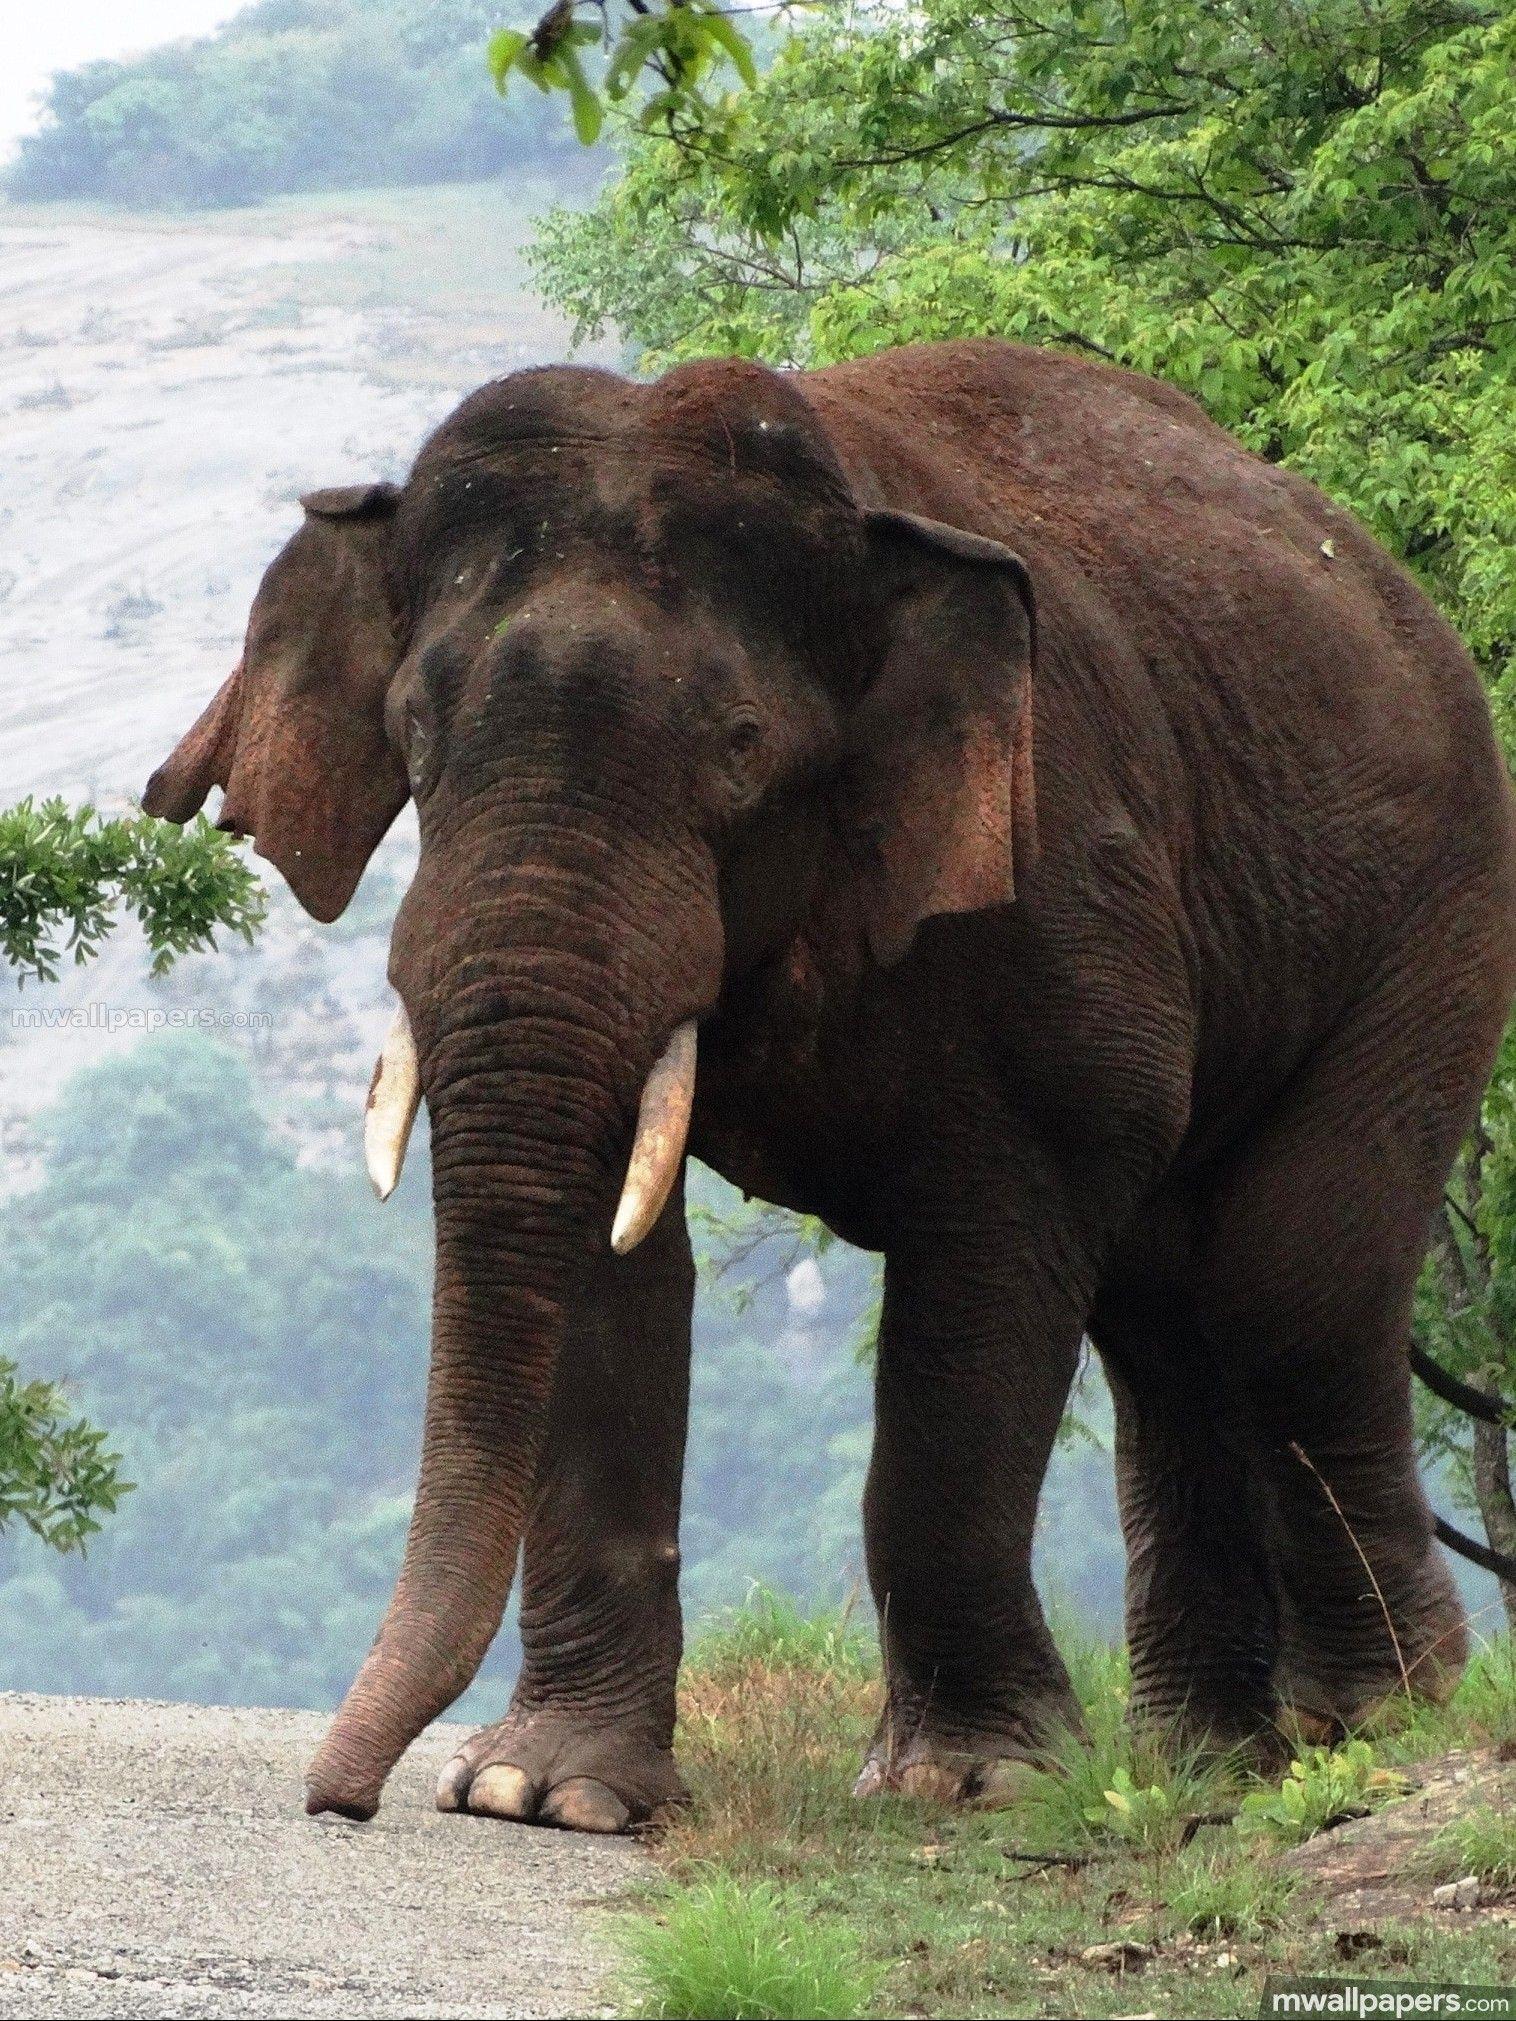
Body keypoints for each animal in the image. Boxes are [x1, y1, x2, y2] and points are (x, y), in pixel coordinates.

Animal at [144, 337, 1516, 1834]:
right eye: (413, 735)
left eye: (741, 745)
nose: (340, 1800)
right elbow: (611, 1265)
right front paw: (544, 1793)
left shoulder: (1057, 887)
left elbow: (986, 1267)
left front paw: (966, 1781)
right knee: (1168, 1313)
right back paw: (1207, 1760)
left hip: (1438, 915)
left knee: (1289, 1277)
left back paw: (1375, 1720)